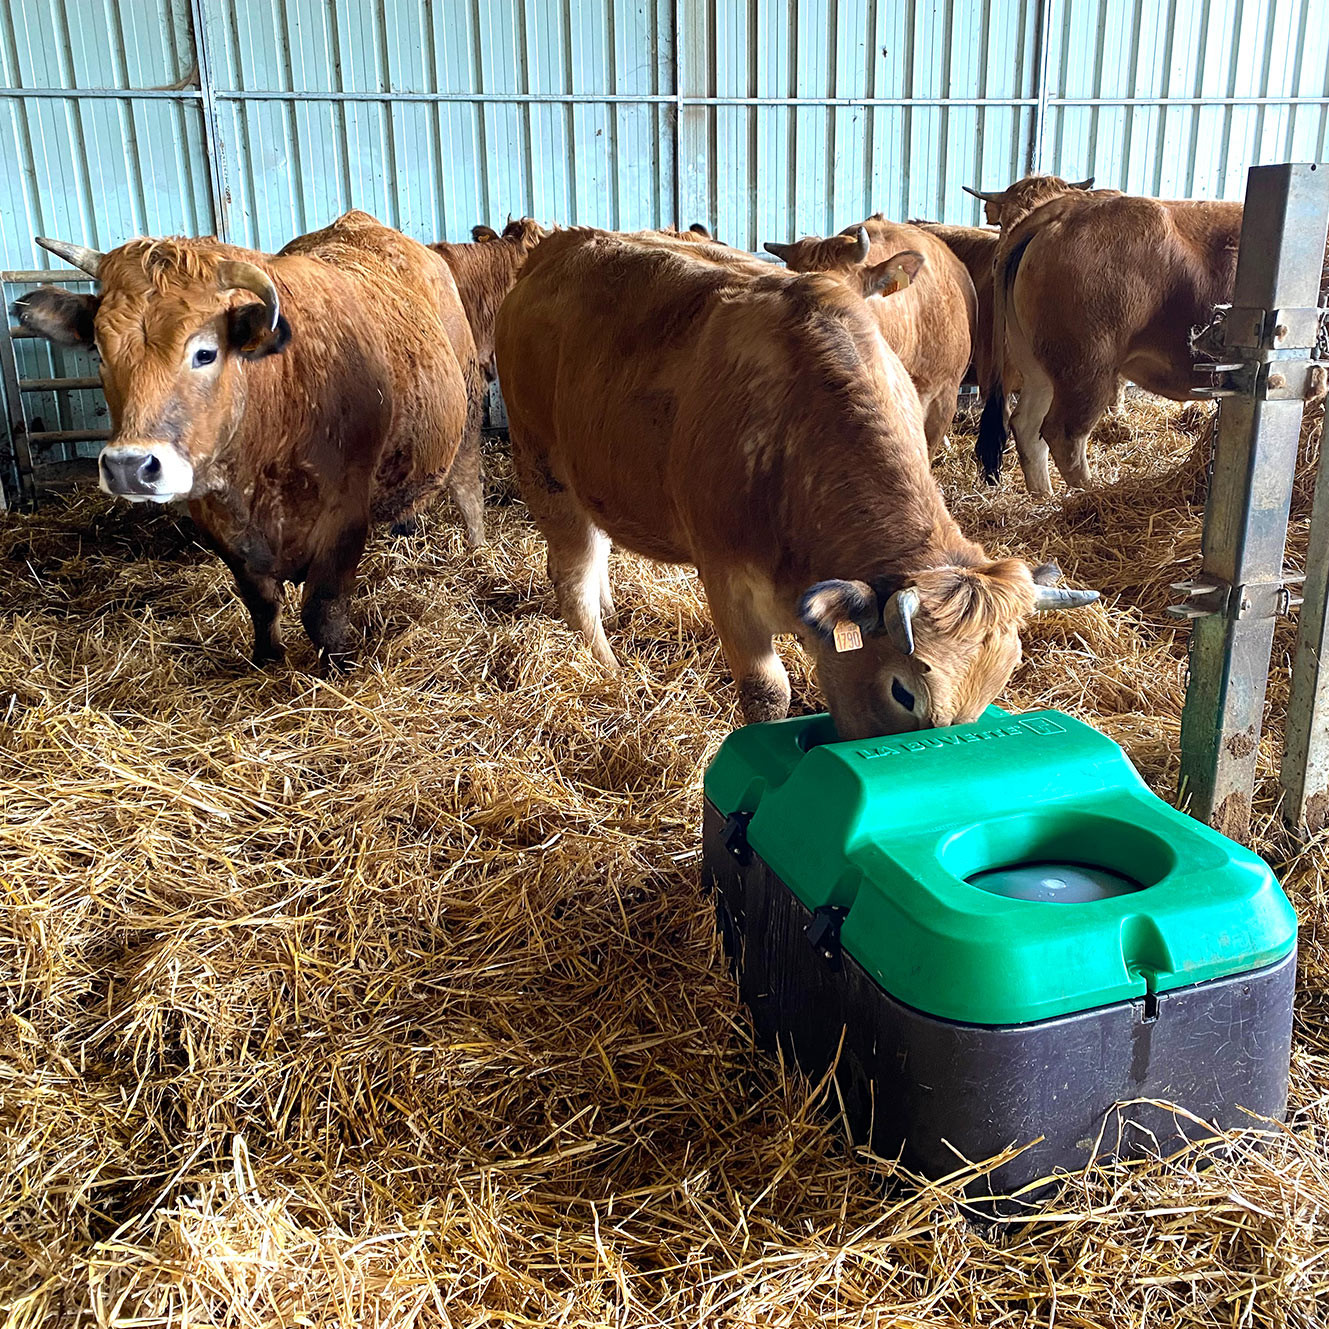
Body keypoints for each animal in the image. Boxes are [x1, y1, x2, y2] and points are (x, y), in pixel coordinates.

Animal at [15, 211, 486, 669]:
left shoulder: (345, 516)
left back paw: (478, 550)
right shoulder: (218, 525)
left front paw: (339, 668)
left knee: (467, 488)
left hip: (467, 415)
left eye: (205, 352)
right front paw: (267, 659)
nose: (129, 466)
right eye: (99, 350)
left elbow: (324, 610)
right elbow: (261, 603)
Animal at [494, 231, 1095, 749]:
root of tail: (559, 244)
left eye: (997, 688)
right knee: (571, 576)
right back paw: (608, 666)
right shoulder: (727, 580)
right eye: (904, 692)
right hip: (543, 466)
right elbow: (767, 693)